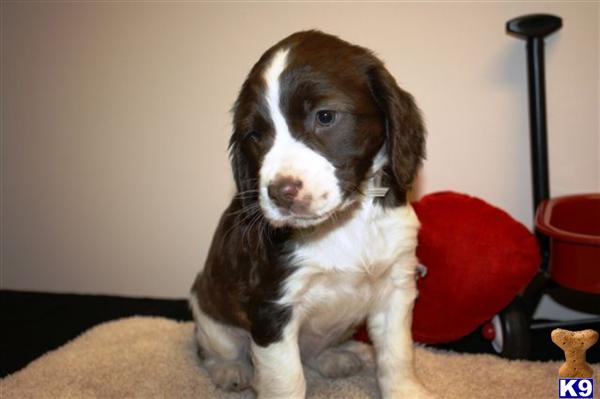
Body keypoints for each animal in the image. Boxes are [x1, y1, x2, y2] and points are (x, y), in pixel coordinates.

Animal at [190, 29, 428, 398]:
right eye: (255, 135)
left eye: (325, 116)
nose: (280, 192)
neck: (346, 223)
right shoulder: (272, 308)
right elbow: (286, 381)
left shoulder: (396, 287)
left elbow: (397, 356)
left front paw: (405, 391)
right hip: (209, 311)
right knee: (215, 349)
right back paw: (231, 370)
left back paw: (337, 357)